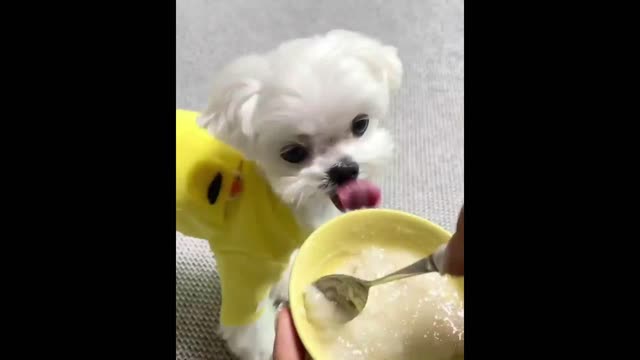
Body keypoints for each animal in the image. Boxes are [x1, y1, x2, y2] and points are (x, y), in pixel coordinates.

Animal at [198, 29, 402, 358]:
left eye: (360, 124)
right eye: (293, 153)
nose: (344, 170)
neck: (284, 202)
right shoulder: (243, 262)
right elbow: (247, 321)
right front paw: (261, 347)